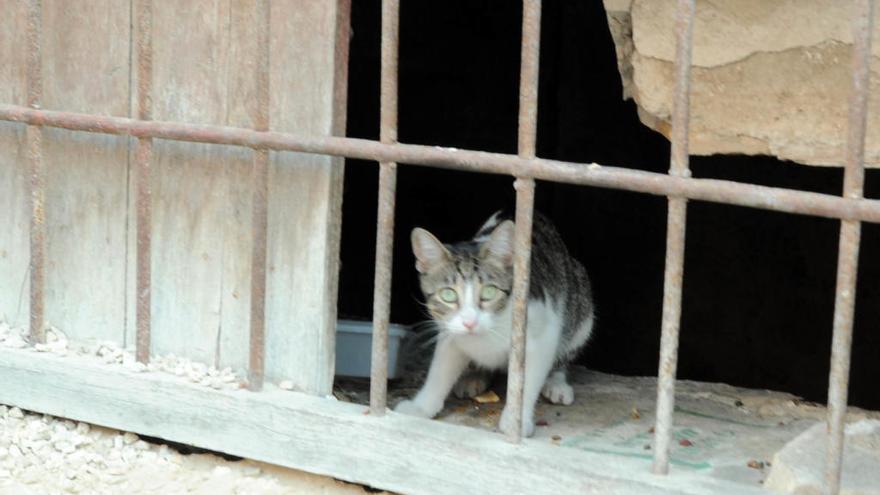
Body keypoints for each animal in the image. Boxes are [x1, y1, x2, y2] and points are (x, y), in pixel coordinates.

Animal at [394, 211, 596, 436]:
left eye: (489, 292)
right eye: (448, 295)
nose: (469, 322)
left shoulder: (544, 329)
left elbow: (527, 378)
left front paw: (515, 421)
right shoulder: (449, 330)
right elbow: (440, 370)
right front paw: (421, 406)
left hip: (581, 304)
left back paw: (556, 383)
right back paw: (474, 376)